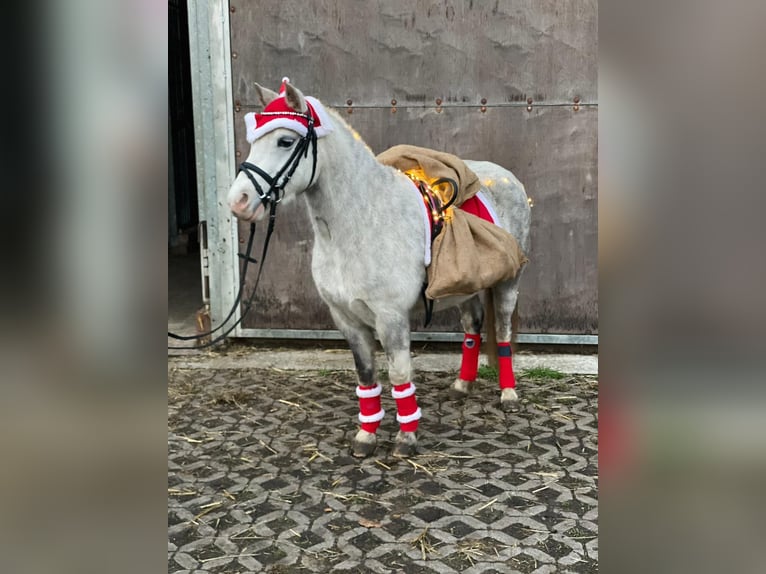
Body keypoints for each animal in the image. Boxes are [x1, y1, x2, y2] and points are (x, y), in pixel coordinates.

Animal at [225, 80, 532, 460]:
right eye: (254, 140)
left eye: (285, 141)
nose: (238, 202)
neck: (362, 224)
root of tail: (507, 177)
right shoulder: (346, 319)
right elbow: (367, 376)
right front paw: (365, 437)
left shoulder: (391, 318)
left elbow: (399, 375)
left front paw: (406, 438)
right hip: (465, 287)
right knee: (472, 325)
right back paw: (462, 385)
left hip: (508, 283)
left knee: (502, 331)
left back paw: (509, 394)